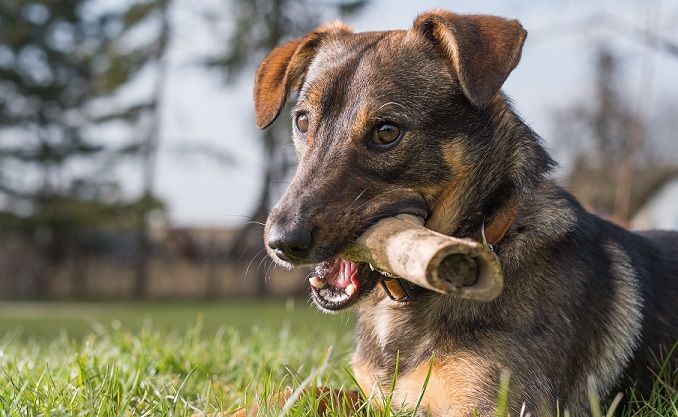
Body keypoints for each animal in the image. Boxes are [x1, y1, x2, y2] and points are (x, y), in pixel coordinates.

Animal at [252, 7, 676, 416]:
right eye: (302, 121)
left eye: (387, 131)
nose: (281, 243)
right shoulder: (374, 398)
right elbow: (294, 394)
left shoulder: (496, 406)